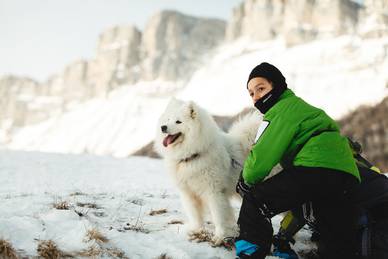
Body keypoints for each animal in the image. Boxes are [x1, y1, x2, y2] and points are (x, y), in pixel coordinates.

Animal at [154, 98, 260, 246]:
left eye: (178, 122)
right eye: (168, 119)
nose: (163, 127)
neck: (191, 156)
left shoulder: (213, 192)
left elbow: (218, 216)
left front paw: (219, 237)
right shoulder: (188, 193)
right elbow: (195, 214)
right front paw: (196, 230)